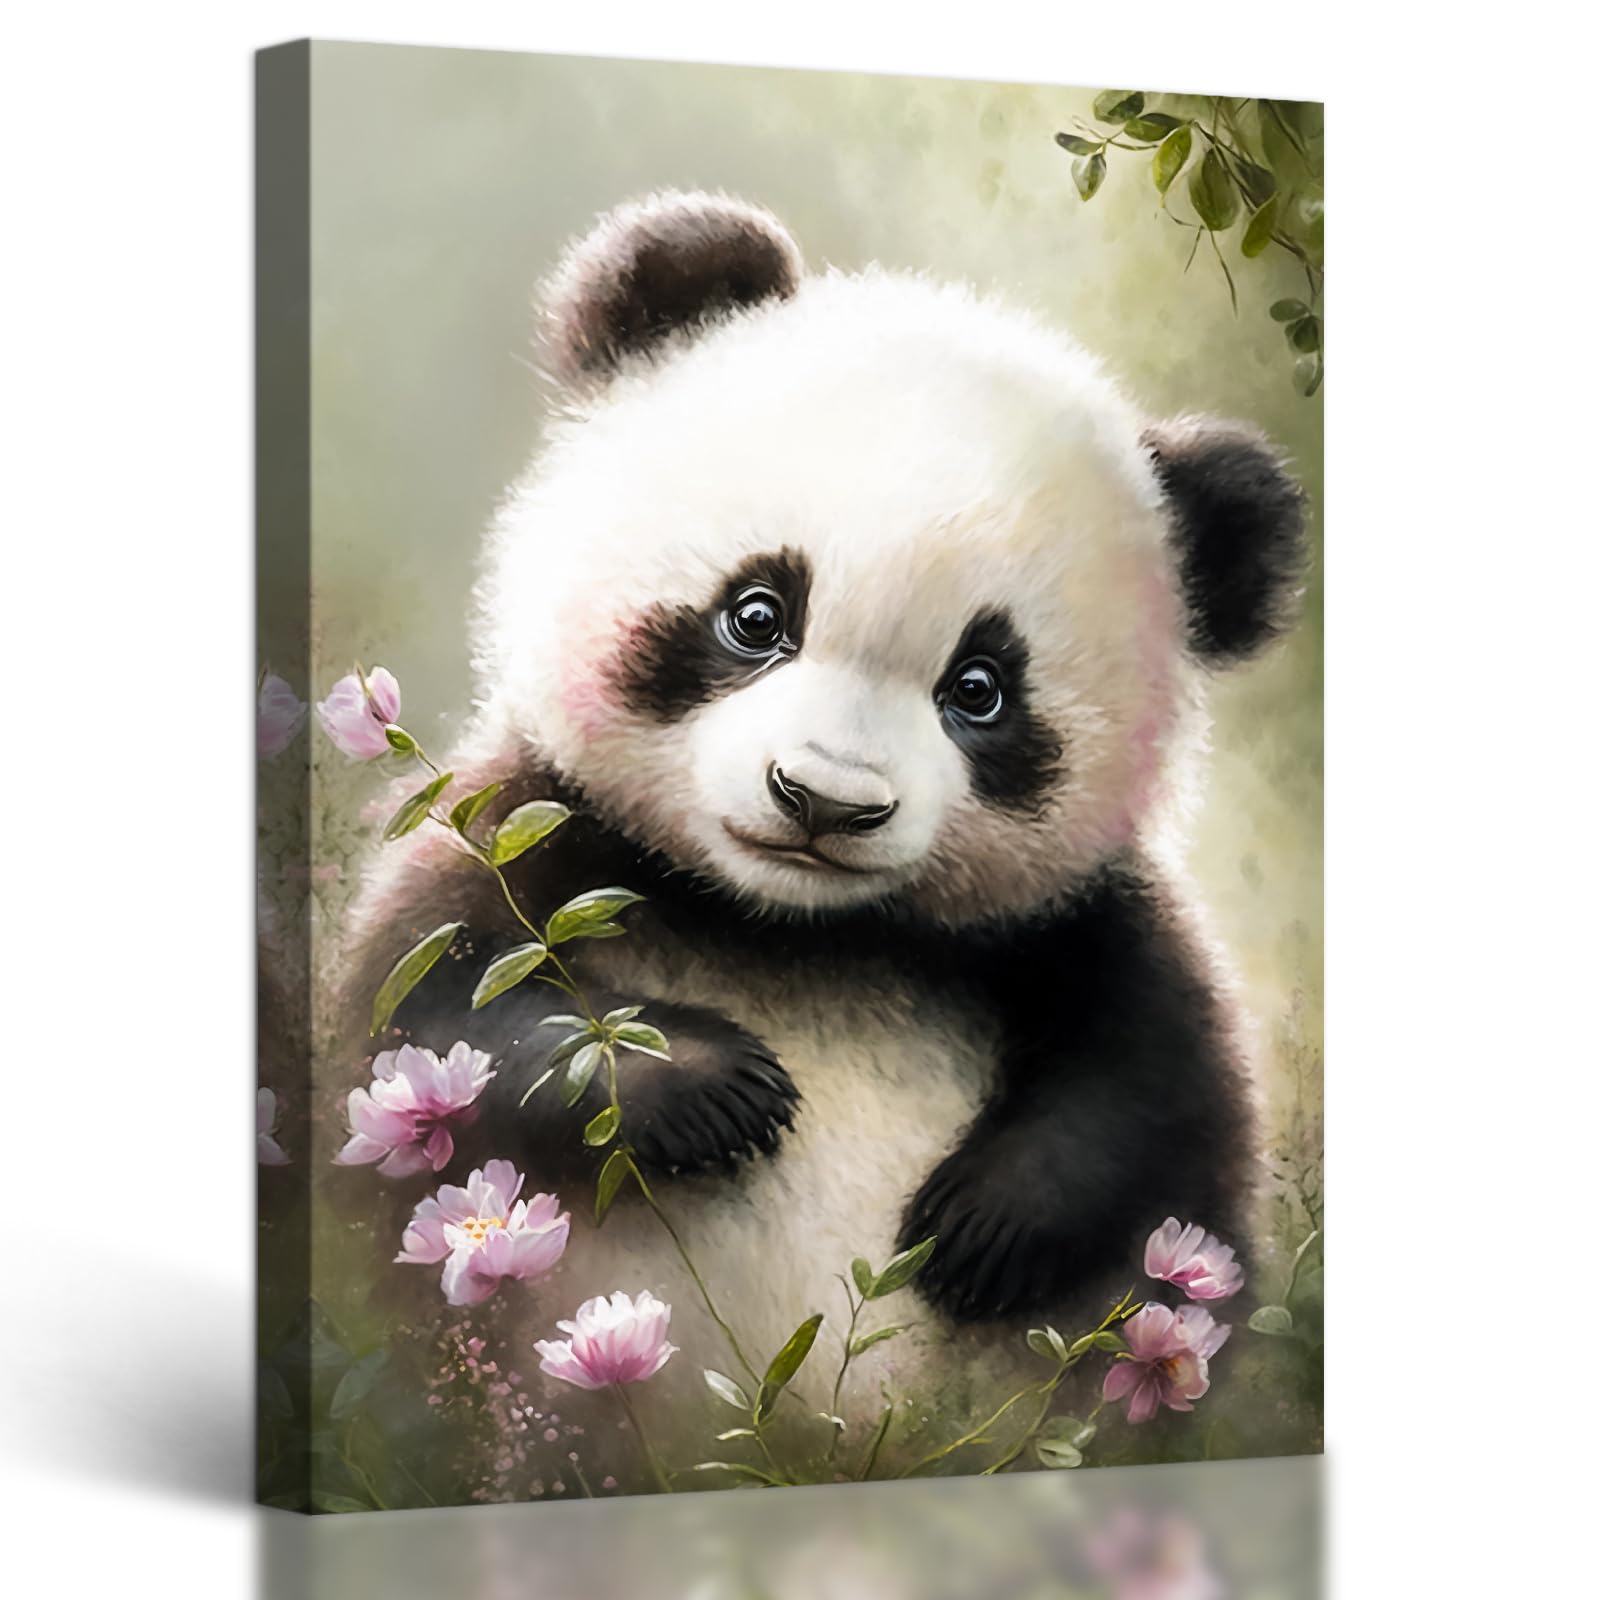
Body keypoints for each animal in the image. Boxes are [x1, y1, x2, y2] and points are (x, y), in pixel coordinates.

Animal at [341, 190, 1306, 1465]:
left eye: (981, 689)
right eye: (757, 614)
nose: (824, 800)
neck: (795, 929)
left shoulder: (1075, 921)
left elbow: (1157, 1096)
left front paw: (984, 1222)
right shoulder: (530, 834)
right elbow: (427, 1025)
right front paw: (711, 1086)